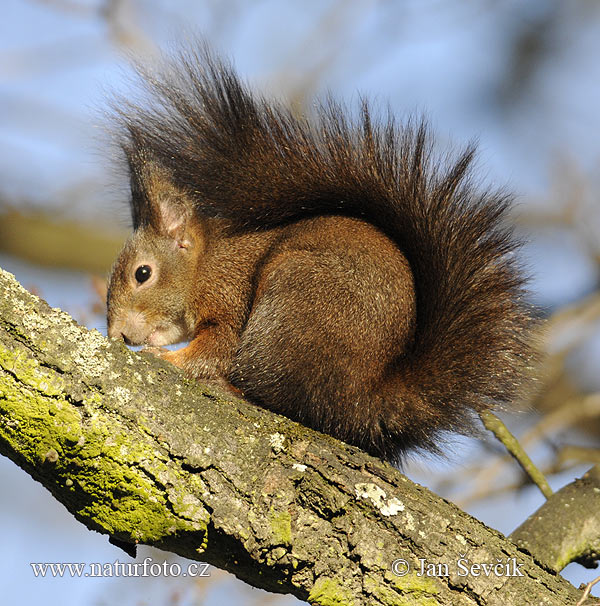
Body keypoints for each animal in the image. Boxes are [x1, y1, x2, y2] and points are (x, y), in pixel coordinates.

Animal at [105, 50, 536, 464]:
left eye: (142, 273)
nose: (119, 335)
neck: (207, 263)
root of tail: (364, 400)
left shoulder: (228, 297)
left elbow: (217, 348)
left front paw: (169, 359)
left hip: (295, 300)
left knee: (277, 393)